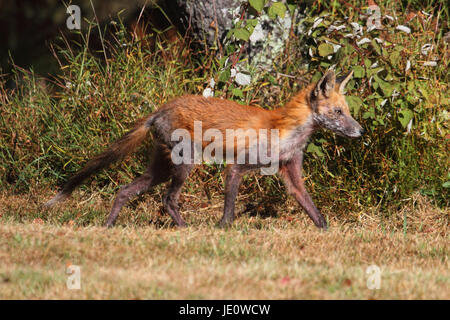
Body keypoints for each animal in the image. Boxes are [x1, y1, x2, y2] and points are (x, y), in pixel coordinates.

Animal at [44, 69, 362, 228]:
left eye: (347, 111)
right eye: (337, 112)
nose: (360, 131)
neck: (285, 132)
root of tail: (159, 110)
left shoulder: (291, 173)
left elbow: (312, 209)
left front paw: (326, 232)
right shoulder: (237, 166)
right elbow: (229, 209)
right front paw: (221, 230)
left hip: (161, 169)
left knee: (124, 191)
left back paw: (109, 225)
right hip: (185, 164)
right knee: (168, 199)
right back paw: (186, 230)